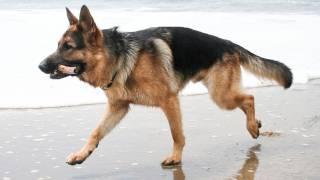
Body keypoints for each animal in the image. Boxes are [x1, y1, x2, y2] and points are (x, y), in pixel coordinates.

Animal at [38, 4, 292, 167]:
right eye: (58, 45)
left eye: (68, 47)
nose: (40, 66)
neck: (119, 57)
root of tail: (227, 43)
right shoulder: (118, 108)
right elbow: (96, 132)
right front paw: (82, 154)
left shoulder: (169, 101)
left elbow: (176, 133)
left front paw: (176, 158)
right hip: (221, 93)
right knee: (246, 99)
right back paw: (255, 124)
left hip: (221, 96)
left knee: (249, 98)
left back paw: (252, 126)